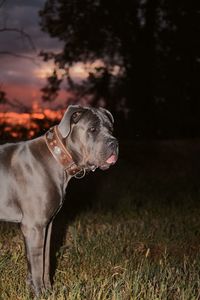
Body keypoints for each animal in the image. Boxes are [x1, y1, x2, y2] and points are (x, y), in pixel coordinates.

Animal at [0, 105, 119, 296]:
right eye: (92, 129)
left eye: (111, 129)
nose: (114, 143)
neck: (58, 156)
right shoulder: (34, 226)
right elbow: (37, 265)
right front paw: (40, 294)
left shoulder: (47, 226)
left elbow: (45, 262)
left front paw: (49, 291)